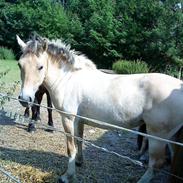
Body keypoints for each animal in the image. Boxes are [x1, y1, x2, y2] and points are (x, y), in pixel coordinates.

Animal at [16, 34, 183, 183]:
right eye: (19, 64)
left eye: (40, 67)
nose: (25, 99)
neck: (68, 79)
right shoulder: (79, 120)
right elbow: (79, 141)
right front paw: (79, 161)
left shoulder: (68, 119)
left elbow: (71, 148)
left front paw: (67, 176)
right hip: (171, 137)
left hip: (157, 136)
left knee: (156, 164)